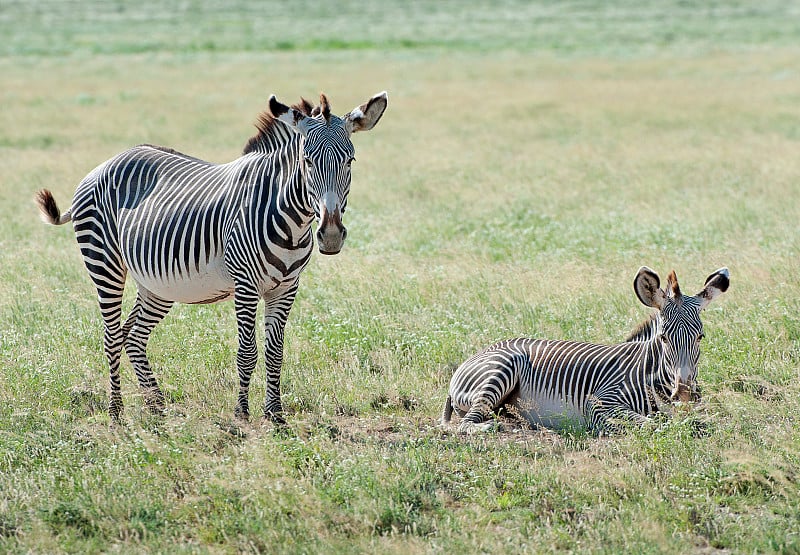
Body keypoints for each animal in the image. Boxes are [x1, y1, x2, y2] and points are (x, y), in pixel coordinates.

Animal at [34, 92, 388, 422]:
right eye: (307, 161)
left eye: (350, 161)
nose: (331, 235)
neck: (291, 220)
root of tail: (107, 162)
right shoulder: (245, 284)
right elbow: (247, 351)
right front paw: (241, 414)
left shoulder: (286, 288)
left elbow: (275, 352)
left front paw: (276, 416)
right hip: (103, 262)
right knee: (111, 336)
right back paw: (116, 412)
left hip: (157, 284)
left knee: (133, 337)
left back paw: (156, 407)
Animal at [444, 268, 732, 436]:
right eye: (663, 338)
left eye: (700, 337)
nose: (683, 392)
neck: (650, 373)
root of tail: (479, 353)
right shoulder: (601, 402)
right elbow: (651, 424)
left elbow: (700, 420)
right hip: (501, 369)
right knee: (467, 423)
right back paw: (496, 427)